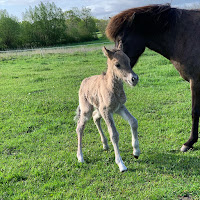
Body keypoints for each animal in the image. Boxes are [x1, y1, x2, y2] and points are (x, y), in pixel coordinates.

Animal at [107, 3, 200, 152]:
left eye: (122, 40)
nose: (113, 71)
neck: (185, 36)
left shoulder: (195, 82)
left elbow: (195, 112)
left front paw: (189, 142)